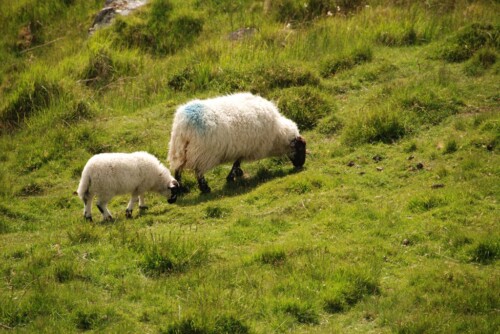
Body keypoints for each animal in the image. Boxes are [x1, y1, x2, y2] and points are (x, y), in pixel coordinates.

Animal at [168, 92, 304, 194]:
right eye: (300, 148)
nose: (301, 165)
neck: (277, 133)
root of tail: (184, 124)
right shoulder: (247, 148)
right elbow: (236, 163)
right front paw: (232, 176)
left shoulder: (242, 148)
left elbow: (237, 162)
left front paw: (236, 174)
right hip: (201, 154)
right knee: (199, 172)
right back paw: (205, 189)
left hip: (179, 150)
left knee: (178, 169)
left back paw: (181, 189)